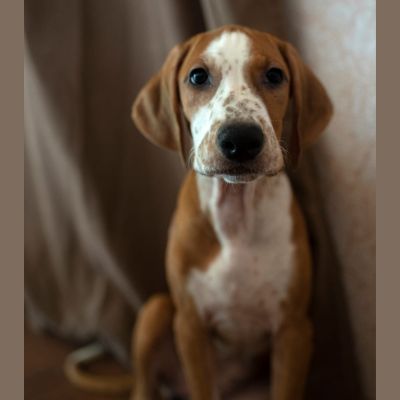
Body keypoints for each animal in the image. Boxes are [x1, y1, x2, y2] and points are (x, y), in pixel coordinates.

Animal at [131, 25, 333, 400]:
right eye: (197, 76)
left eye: (275, 75)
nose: (241, 139)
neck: (237, 216)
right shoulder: (191, 326)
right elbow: (201, 386)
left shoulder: (294, 330)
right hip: (157, 310)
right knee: (143, 384)